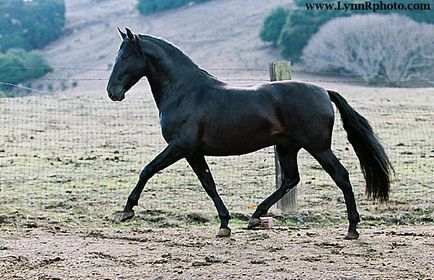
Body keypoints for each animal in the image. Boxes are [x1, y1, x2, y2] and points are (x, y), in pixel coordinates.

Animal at [107, 27, 392, 238]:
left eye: (124, 57)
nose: (112, 92)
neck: (186, 91)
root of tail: (323, 91)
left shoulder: (180, 147)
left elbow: (148, 170)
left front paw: (127, 211)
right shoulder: (193, 152)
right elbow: (209, 184)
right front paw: (224, 224)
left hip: (318, 147)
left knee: (341, 176)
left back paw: (352, 228)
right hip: (287, 147)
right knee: (290, 179)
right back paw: (256, 217)